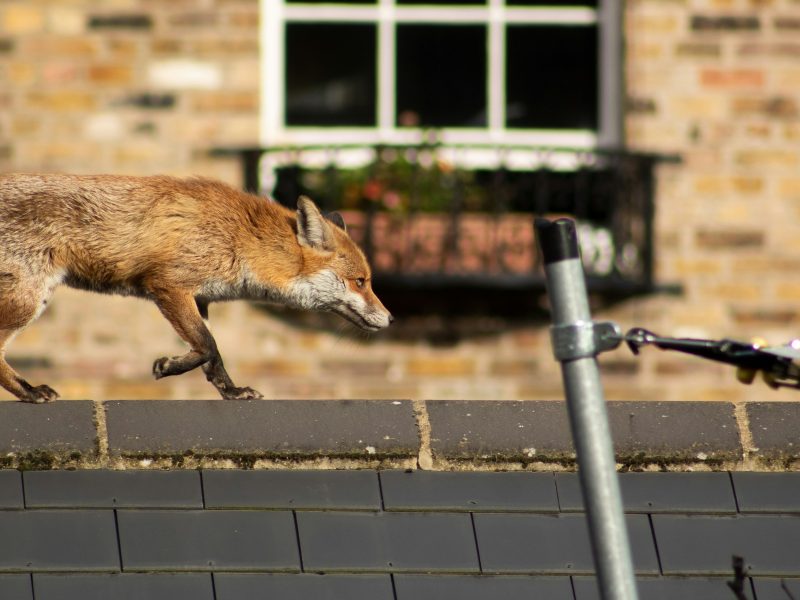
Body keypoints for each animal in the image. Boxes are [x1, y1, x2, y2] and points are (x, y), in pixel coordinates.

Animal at [0, 173, 393, 403]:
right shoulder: (168, 285)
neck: (241, 237)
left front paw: (231, 391)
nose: (390, 319)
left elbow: (212, 355)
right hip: (28, 302)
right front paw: (168, 366)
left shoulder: (200, 300)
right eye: (361, 282)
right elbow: (207, 345)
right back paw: (30, 392)